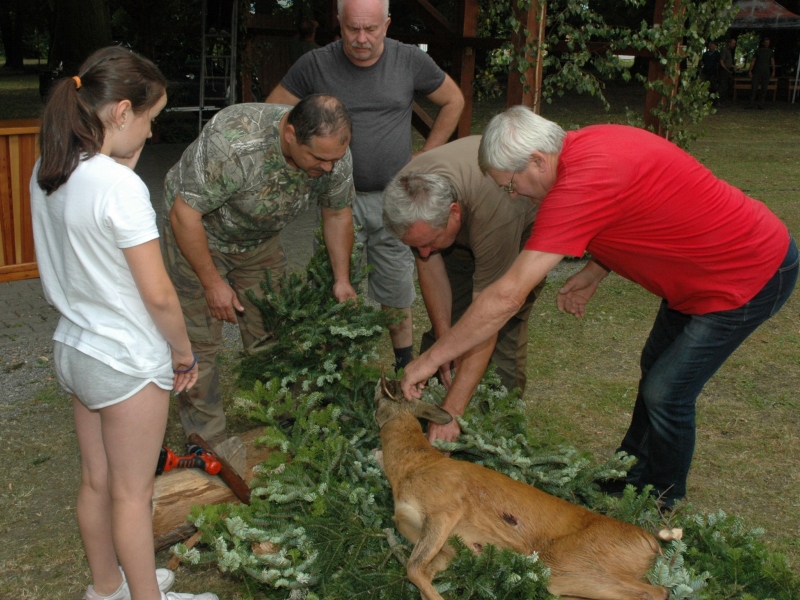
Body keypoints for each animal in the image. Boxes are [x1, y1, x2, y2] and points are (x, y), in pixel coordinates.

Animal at [376, 378, 668, 600]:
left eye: (381, 397)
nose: (384, 380)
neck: (410, 469)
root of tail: (652, 543)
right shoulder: (447, 547)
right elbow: (422, 573)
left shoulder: (444, 506)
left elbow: (413, 570)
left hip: (574, 562)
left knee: (656, 592)